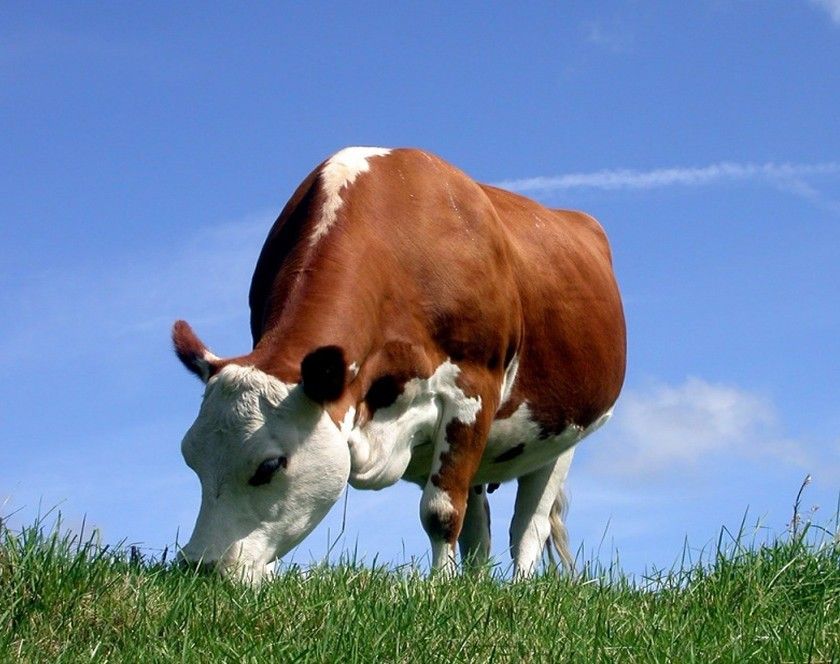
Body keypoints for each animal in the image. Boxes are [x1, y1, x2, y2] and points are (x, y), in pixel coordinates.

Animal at [176, 147, 624, 580]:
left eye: (269, 465)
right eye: (190, 456)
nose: (201, 567)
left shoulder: (471, 391)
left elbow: (442, 512)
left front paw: (440, 588)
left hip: (563, 435)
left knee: (528, 526)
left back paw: (518, 584)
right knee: (480, 528)